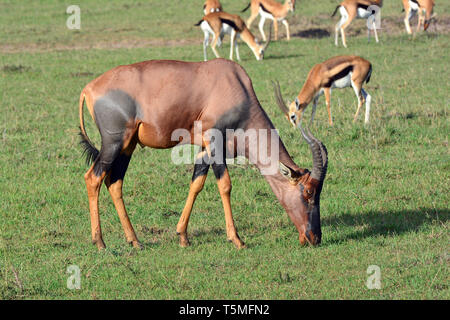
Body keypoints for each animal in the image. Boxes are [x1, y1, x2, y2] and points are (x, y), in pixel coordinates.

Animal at [79, 58, 328, 251]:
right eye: (307, 192)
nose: (314, 238)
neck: (234, 84)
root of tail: (88, 88)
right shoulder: (216, 142)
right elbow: (225, 185)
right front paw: (237, 240)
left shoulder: (204, 148)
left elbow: (196, 183)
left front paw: (183, 236)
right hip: (113, 143)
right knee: (93, 177)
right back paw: (100, 242)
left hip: (128, 146)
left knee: (114, 182)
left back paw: (135, 241)